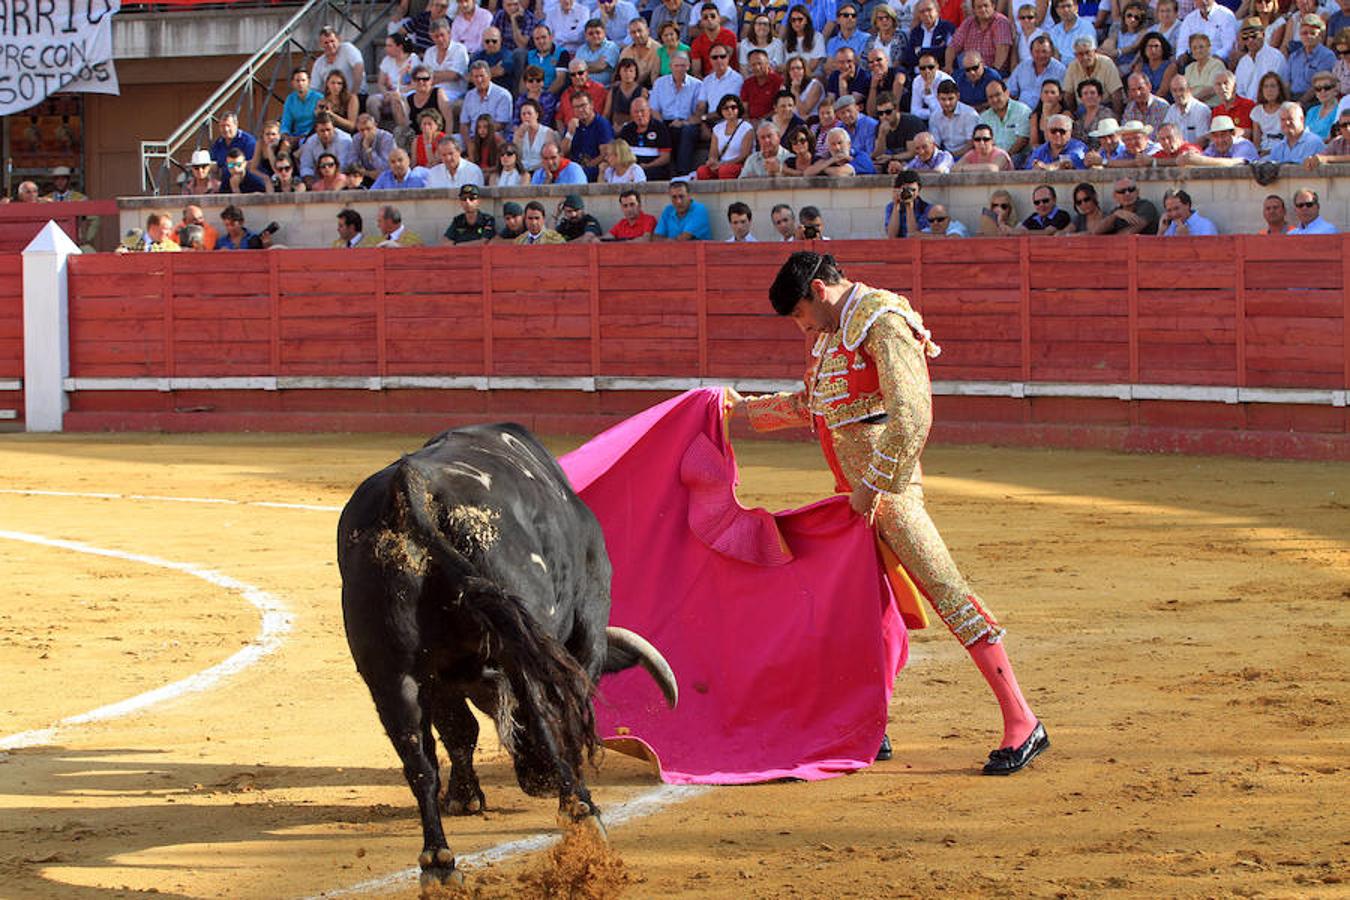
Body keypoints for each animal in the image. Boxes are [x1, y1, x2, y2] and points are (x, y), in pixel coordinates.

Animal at [333, 423, 680, 885]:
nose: (539, 780)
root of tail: (412, 491)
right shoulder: (587, 623)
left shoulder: (440, 679)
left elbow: (458, 731)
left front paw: (464, 797)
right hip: (521, 649)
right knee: (547, 719)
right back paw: (584, 815)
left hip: (391, 675)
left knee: (418, 759)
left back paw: (439, 863)